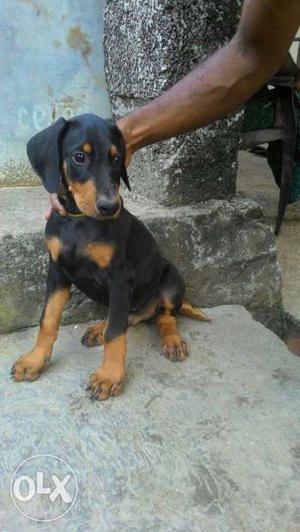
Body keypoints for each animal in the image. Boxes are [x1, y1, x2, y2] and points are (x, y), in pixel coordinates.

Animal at [11, 114, 209, 402]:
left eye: (116, 159)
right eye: (79, 156)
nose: (110, 207)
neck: (79, 221)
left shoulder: (119, 278)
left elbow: (116, 332)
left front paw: (109, 376)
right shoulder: (57, 271)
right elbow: (48, 319)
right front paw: (34, 360)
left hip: (171, 279)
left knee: (164, 317)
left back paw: (172, 340)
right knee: (129, 316)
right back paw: (98, 329)